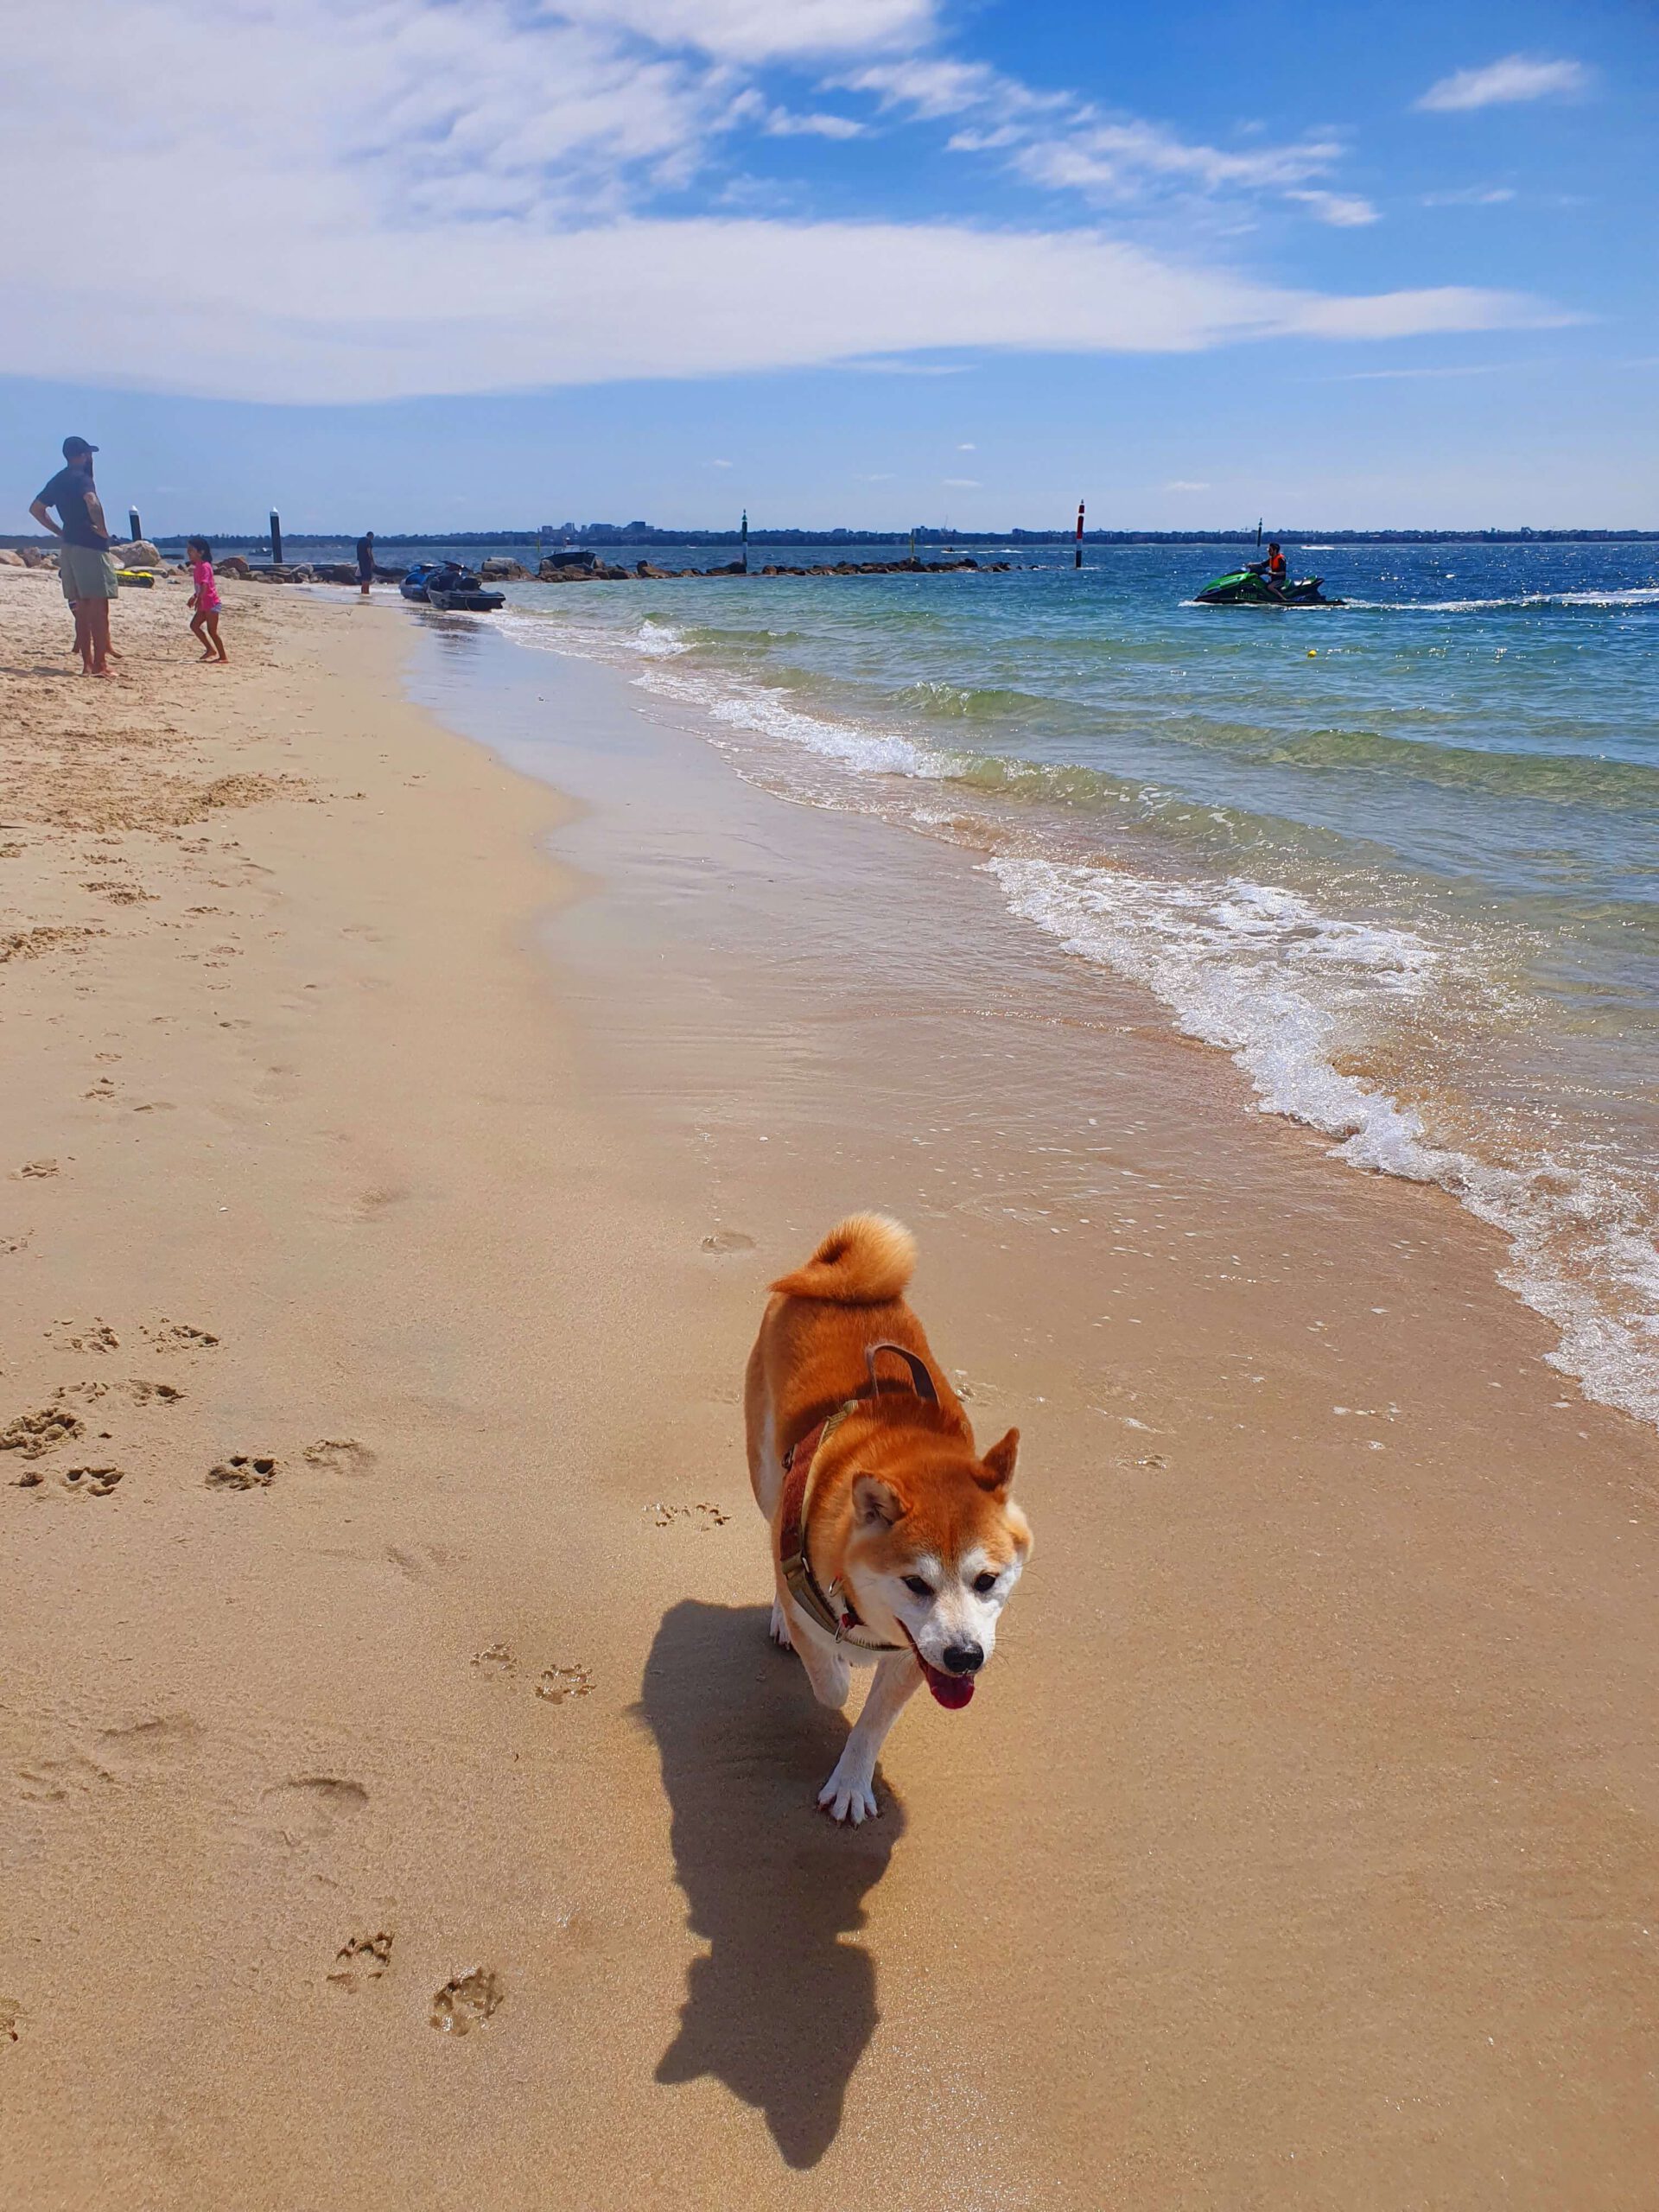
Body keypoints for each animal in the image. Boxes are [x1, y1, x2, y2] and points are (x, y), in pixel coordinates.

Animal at [747, 1221, 1035, 1822]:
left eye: (987, 1581)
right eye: (914, 1583)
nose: (966, 1658)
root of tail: (836, 1272)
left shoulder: (915, 1656)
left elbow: (874, 1723)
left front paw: (852, 1783)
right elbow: (830, 1683)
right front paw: (832, 1662)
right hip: (766, 1475)